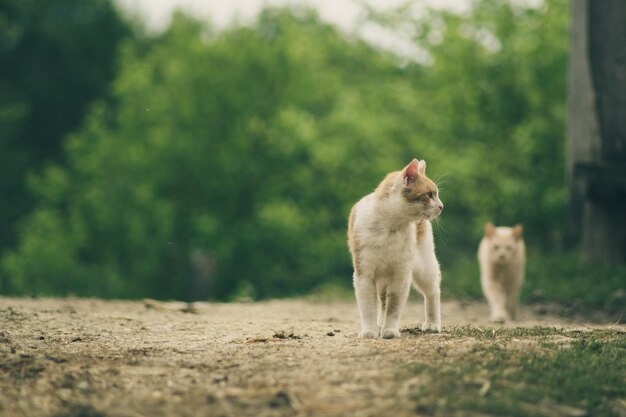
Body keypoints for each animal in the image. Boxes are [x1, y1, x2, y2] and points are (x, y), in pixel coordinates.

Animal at [346, 158, 444, 336]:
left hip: (424, 267)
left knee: (433, 293)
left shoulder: (401, 274)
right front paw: (370, 331)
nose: (441, 206)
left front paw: (390, 330)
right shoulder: (364, 274)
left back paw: (432, 323)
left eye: (436, 194)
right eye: (430, 194)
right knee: (382, 300)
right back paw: (379, 324)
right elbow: (368, 307)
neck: (389, 227)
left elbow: (394, 305)